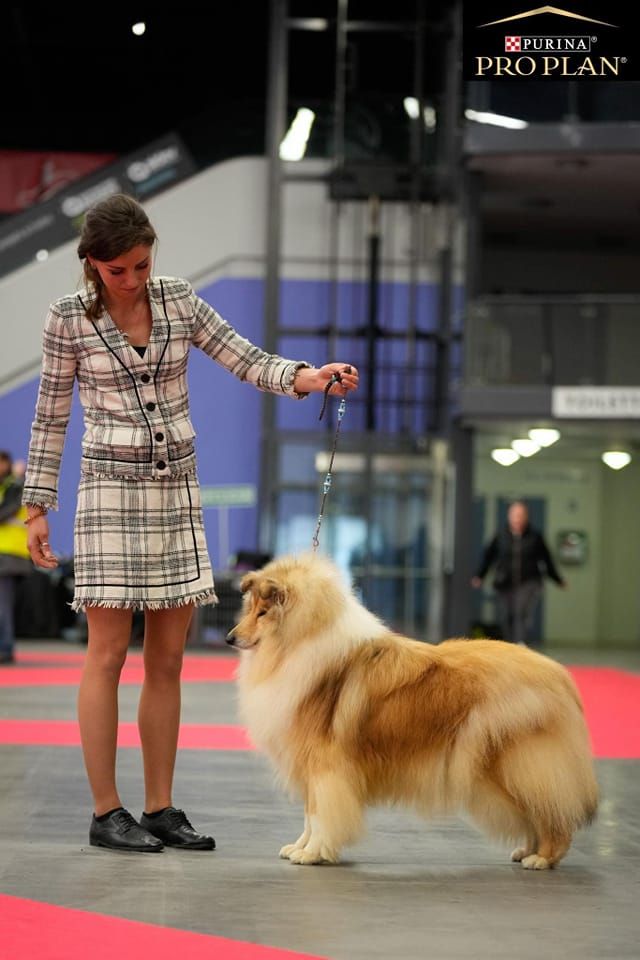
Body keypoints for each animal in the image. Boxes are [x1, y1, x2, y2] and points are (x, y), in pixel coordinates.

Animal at [228, 552, 596, 868]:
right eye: (249, 608)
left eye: (263, 613)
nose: (230, 638)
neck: (297, 644)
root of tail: (560, 675)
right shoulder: (309, 763)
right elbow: (309, 813)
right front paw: (299, 847)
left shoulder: (324, 764)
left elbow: (321, 814)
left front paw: (314, 853)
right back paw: (526, 851)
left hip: (516, 762)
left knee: (551, 810)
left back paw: (543, 858)